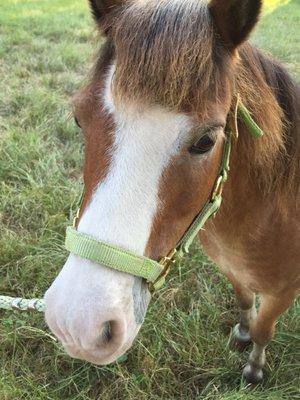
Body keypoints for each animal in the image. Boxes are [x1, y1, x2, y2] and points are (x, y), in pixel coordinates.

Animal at [43, 0, 298, 382]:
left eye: (206, 141)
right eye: (78, 118)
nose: (78, 324)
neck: (266, 215)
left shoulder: (282, 292)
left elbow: (264, 329)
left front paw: (253, 368)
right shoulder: (232, 271)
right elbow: (243, 302)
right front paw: (241, 333)